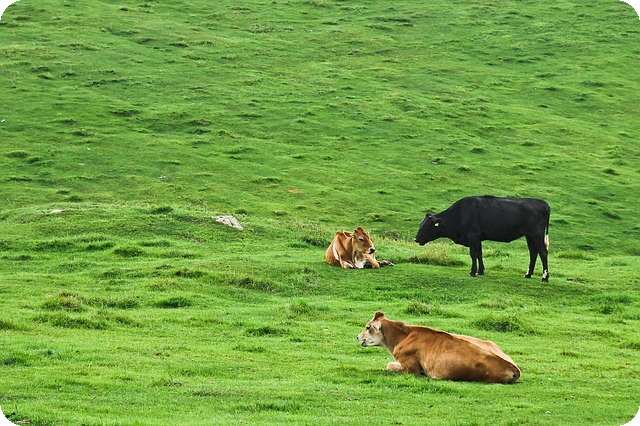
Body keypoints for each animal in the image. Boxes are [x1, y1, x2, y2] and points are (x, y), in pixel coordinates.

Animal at [358, 312, 521, 384]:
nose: (357, 337)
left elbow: (389, 365)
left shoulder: (410, 368)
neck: (402, 336)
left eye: (367, 327)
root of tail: (513, 368)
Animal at [415, 196, 550, 282]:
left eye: (426, 226)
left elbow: (473, 254)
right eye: (420, 225)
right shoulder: (478, 238)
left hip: (537, 234)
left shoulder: (473, 236)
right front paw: (480, 271)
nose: (416, 239)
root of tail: (543, 204)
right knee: (533, 253)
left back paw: (544, 277)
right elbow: (479, 254)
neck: (460, 214)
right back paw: (528, 274)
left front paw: (472, 272)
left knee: (543, 252)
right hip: (529, 235)